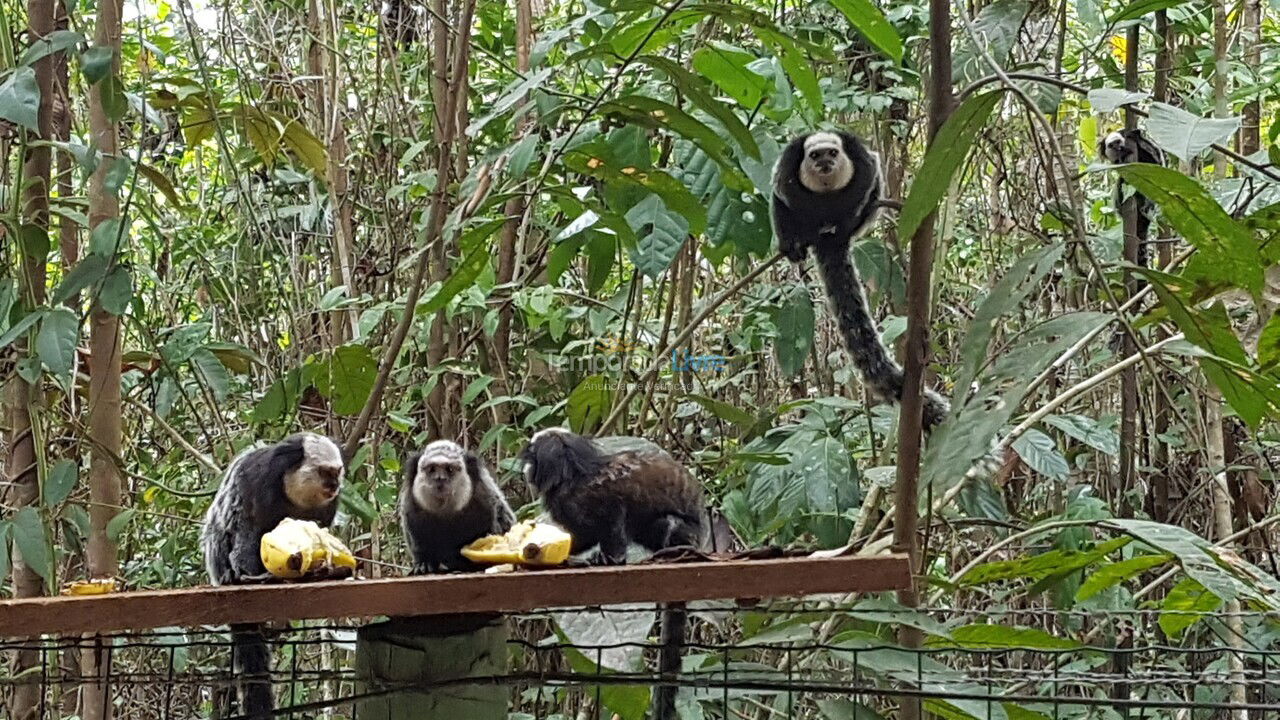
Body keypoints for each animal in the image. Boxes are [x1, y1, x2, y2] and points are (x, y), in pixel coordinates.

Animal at [199, 427, 343, 712]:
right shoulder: (255, 480)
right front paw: (250, 573)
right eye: (326, 473)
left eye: (337, 472)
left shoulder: (326, 509)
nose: (335, 486)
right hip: (217, 561)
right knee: (223, 532)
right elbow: (246, 530)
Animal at [401, 438, 517, 571]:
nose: (440, 478)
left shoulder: (484, 496)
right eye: (432, 469)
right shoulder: (411, 505)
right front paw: (423, 563)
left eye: (449, 469)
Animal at [768, 130, 952, 425]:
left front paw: (845, 219)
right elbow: (781, 195)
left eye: (832, 153)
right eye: (815, 155)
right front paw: (793, 239)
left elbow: (870, 176)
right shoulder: (788, 168)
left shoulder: (861, 162)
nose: (825, 163)